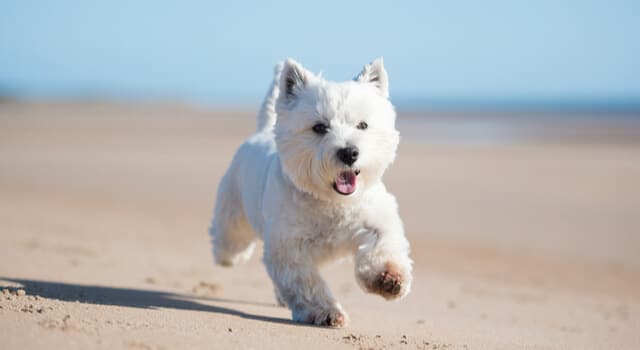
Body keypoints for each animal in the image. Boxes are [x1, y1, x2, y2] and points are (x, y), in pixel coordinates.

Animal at [208, 58, 412, 328]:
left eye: (363, 125)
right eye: (319, 127)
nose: (349, 152)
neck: (330, 200)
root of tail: (262, 132)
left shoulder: (375, 220)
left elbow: (384, 243)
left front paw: (388, 277)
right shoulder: (288, 247)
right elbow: (307, 284)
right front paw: (327, 312)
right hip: (233, 215)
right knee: (229, 239)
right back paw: (227, 256)